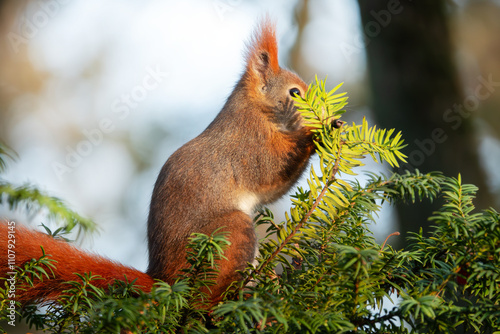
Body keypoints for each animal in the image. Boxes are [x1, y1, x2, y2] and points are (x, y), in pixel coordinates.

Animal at [0, 20, 312, 308]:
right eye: (295, 93)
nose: (317, 107)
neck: (255, 109)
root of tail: (165, 280)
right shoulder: (250, 145)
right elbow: (272, 169)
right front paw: (317, 131)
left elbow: (272, 190)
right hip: (230, 234)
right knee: (202, 302)